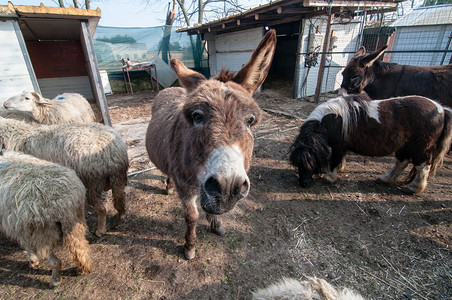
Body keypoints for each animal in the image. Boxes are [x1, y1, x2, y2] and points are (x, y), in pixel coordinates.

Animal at [0, 117, 131, 237]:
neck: (19, 139)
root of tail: (114, 151)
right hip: (116, 180)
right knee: (120, 199)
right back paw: (120, 215)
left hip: (91, 184)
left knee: (102, 209)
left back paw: (100, 230)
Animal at [0, 151, 92, 288]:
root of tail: (63, 202)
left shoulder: (22, 228)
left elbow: (29, 248)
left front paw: (33, 261)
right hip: (74, 222)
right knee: (79, 249)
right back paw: (83, 270)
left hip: (44, 232)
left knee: (55, 261)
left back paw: (55, 280)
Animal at [147, 29, 278, 258]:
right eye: (197, 117)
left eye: (250, 121)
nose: (228, 187)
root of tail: (171, 89)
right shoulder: (185, 185)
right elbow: (191, 216)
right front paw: (189, 246)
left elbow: (210, 209)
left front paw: (215, 224)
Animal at [290, 92, 452, 195]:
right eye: (297, 164)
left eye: (311, 162)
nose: (304, 183)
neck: (333, 119)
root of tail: (441, 109)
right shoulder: (342, 146)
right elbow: (340, 159)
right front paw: (339, 170)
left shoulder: (338, 146)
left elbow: (335, 160)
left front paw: (329, 177)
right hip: (405, 146)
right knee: (402, 162)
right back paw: (386, 179)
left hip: (419, 148)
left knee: (422, 166)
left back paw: (414, 188)